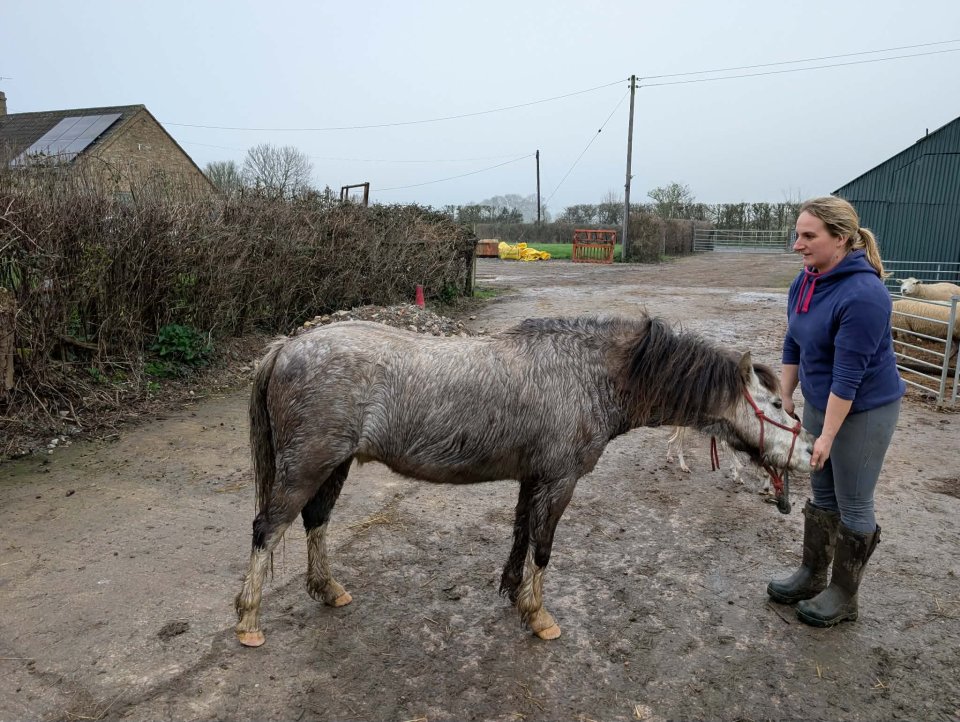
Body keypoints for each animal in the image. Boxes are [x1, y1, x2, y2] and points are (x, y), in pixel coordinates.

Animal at [234, 314, 814, 646]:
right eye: (776, 404)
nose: (811, 453)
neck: (587, 373)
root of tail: (286, 347)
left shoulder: (532, 478)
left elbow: (519, 536)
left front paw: (513, 594)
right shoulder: (559, 481)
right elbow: (543, 546)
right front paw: (538, 617)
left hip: (332, 466)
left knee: (315, 522)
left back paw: (329, 591)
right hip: (307, 466)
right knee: (267, 530)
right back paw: (248, 621)